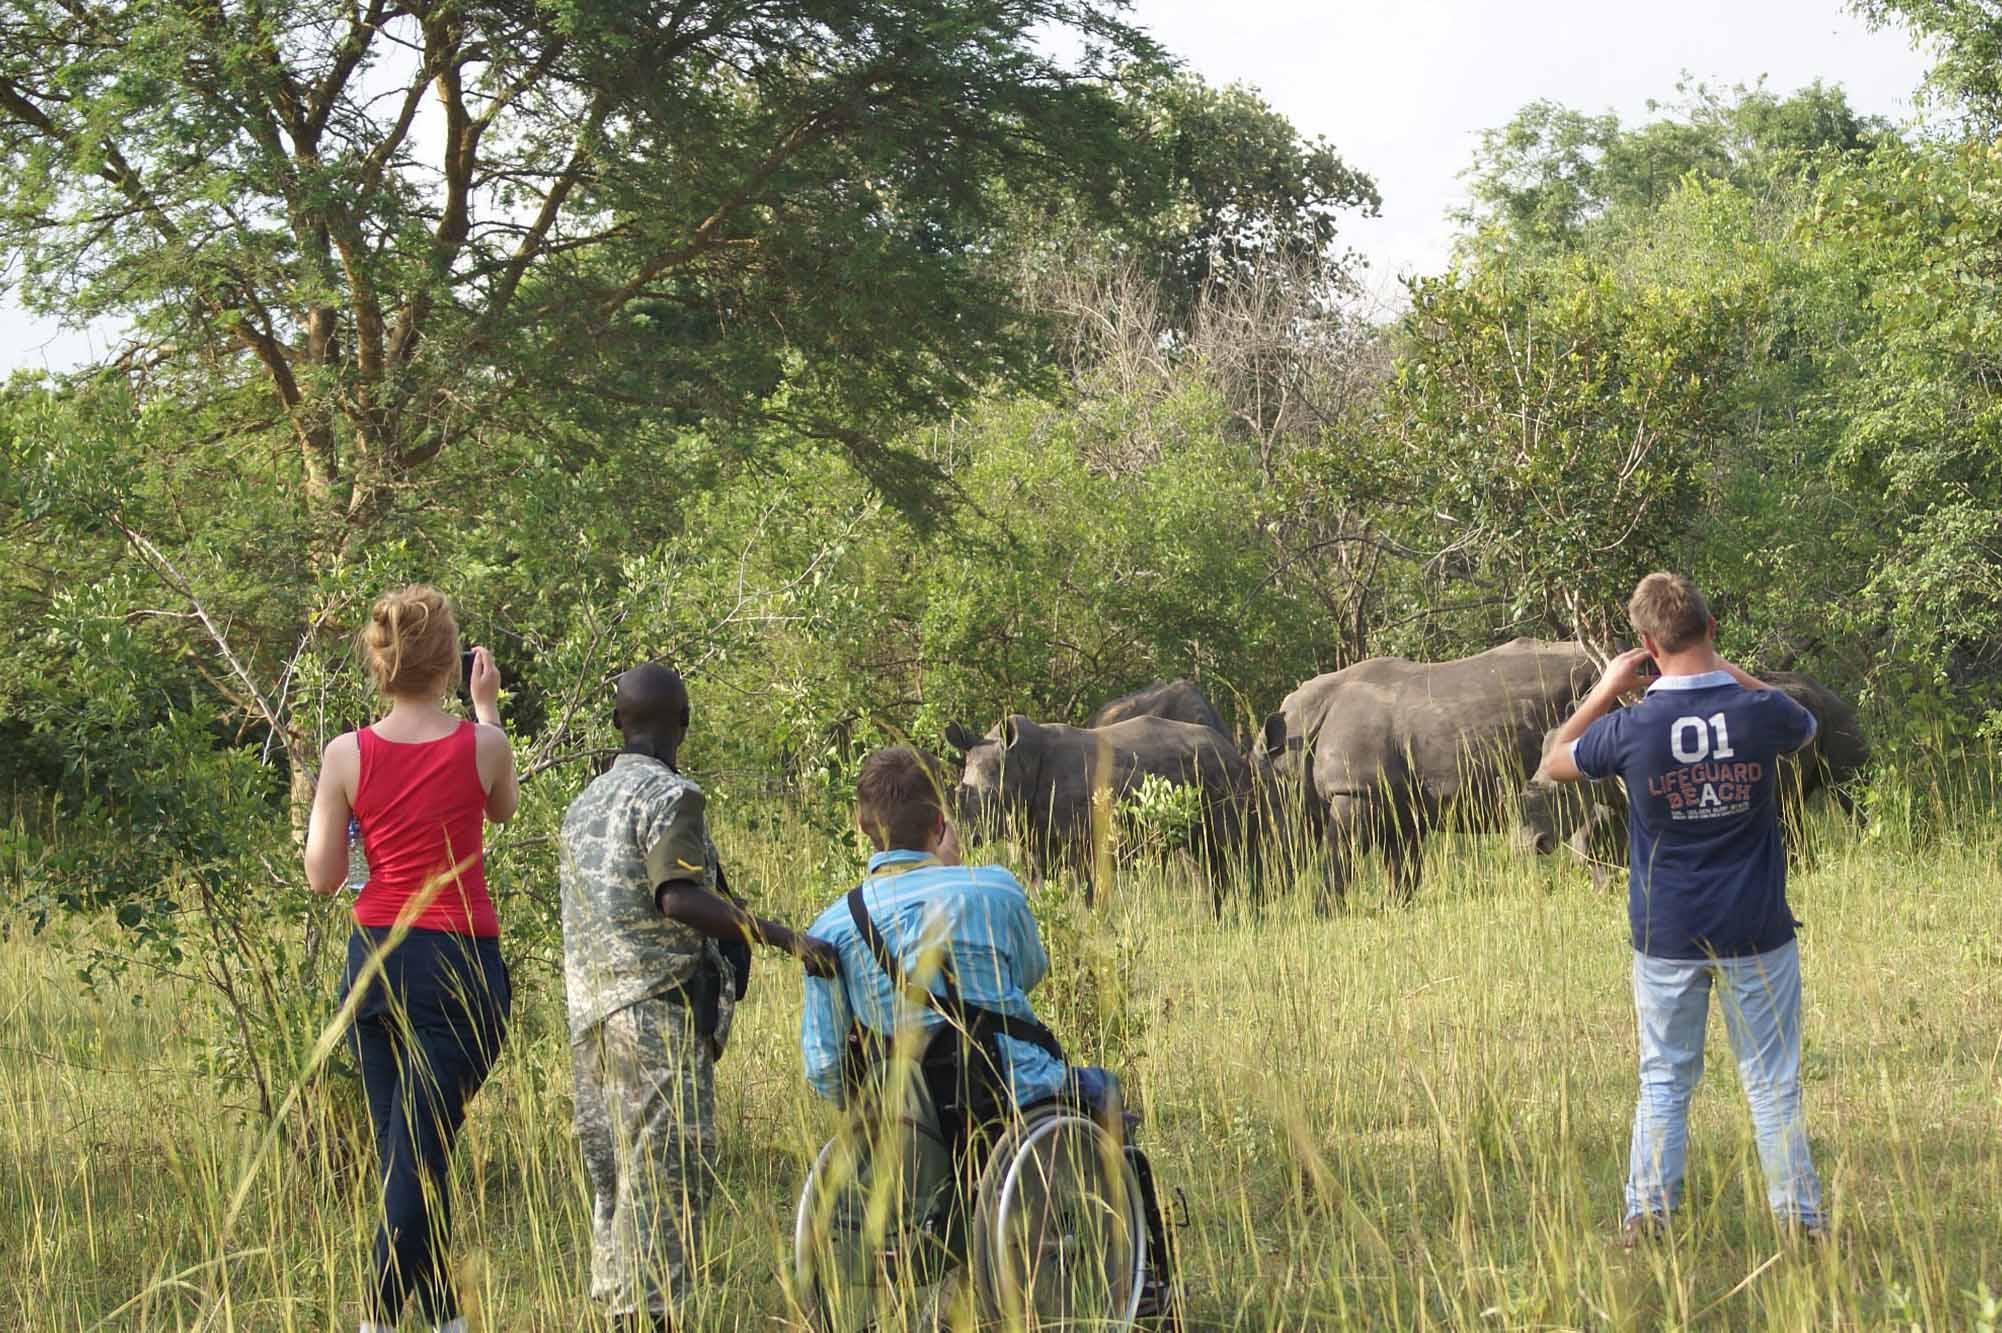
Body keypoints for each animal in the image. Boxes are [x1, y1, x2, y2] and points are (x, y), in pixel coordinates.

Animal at [944, 713, 1253, 908]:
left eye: (993, 799)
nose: (963, 840)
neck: (1022, 762)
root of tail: (1230, 748)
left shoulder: (1082, 841)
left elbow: (1088, 892)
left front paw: (1098, 929)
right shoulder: (1032, 836)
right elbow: (1038, 888)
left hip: (1225, 773)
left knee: (1233, 850)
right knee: (1199, 857)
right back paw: (1211, 921)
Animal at [1251, 638, 1599, 906]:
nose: (1254, 892)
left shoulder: (1355, 789)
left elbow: (1341, 856)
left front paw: (1324, 911)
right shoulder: (1398, 802)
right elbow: (1402, 864)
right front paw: (1393, 908)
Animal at [1517, 670, 1871, 888]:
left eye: (1562, 796)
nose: (1530, 845)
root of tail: (1824, 688)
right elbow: (1591, 849)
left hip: (1836, 714)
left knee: (1849, 791)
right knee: (1791, 808)